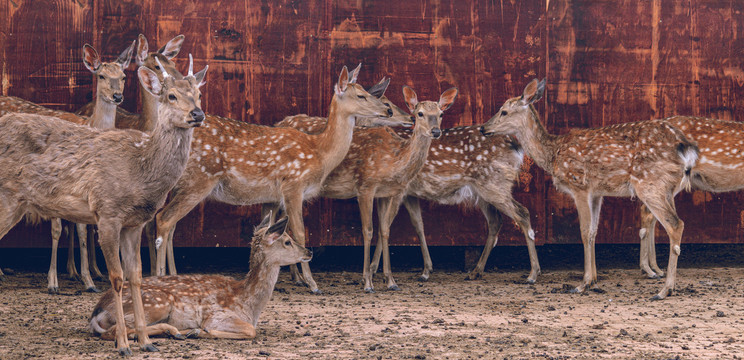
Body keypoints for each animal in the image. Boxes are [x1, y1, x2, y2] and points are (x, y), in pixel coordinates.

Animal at [0, 56, 206, 354]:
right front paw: (123, 344)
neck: (140, 170)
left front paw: (146, 342)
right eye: (171, 96)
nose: (198, 114)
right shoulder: (108, 213)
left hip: (16, 203)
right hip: (7, 197)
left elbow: (136, 275)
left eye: (199, 94)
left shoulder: (135, 223)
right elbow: (116, 277)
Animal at [89, 215, 310, 342]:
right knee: (114, 331)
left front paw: (195, 332)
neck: (249, 305)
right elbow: (251, 331)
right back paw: (174, 331)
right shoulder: (217, 315)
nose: (310, 251)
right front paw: (198, 332)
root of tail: (97, 312)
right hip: (158, 303)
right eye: (287, 241)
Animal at [153, 63, 396, 294]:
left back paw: (172, 276)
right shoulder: (293, 185)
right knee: (164, 219)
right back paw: (161, 277)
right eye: (361, 95)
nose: (388, 110)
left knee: (171, 225)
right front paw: (313, 284)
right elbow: (300, 232)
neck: (319, 152)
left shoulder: (272, 197)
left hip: (182, 185)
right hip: (199, 180)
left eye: (368, 91)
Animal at [482, 79, 696, 300]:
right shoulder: (597, 193)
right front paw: (593, 281)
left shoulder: (579, 186)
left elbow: (584, 232)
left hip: (650, 183)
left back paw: (664, 290)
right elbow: (593, 231)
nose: (483, 128)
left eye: (504, 111)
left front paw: (582, 284)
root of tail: (685, 149)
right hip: (668, 188)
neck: (553, 154)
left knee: (675, 224)